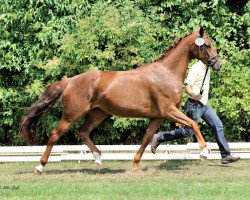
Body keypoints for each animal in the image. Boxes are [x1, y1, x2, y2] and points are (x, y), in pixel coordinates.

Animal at [20, 27, 222, 173]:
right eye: (208, 45)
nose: (218, 64)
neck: (166, 73)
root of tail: (70, 80)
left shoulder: (158, 117)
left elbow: (146, 138)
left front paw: (135, 164)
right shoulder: (169, 111)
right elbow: (193, 124)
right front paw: (204, 152)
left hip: (98, 114)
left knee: (83, 132)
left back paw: (98, 160)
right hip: (72, 114)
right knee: (55, 134)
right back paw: (40, 166)